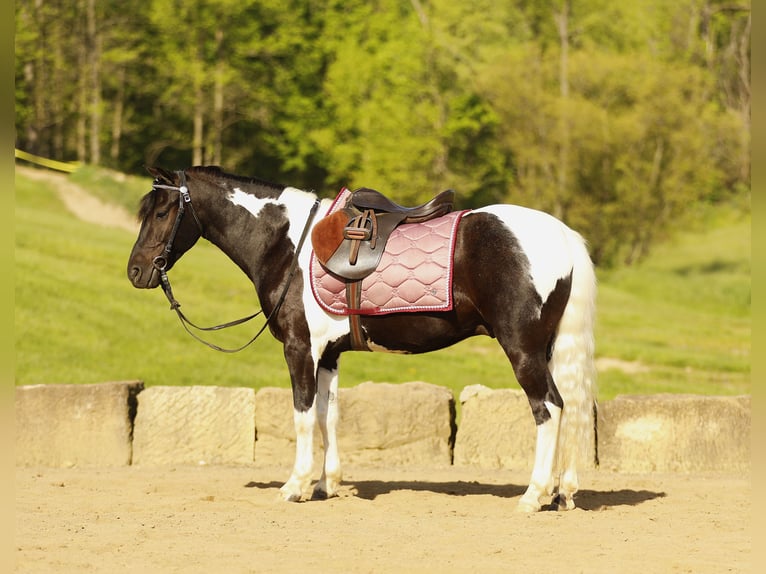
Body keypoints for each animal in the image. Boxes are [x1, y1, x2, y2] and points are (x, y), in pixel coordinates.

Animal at [127, 165, 597, 512]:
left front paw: (295, 486)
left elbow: (302, 415)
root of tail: (563, 236)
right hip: (548, 349)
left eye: (162, 212)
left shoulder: (300, 349)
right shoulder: (329, 356)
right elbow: (327, 415)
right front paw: (326, 484)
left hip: (522, 349)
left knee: (549, 409)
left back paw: (534, 495)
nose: (135, 271)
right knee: (571, 407)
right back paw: (563, 493)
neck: (289, 243)